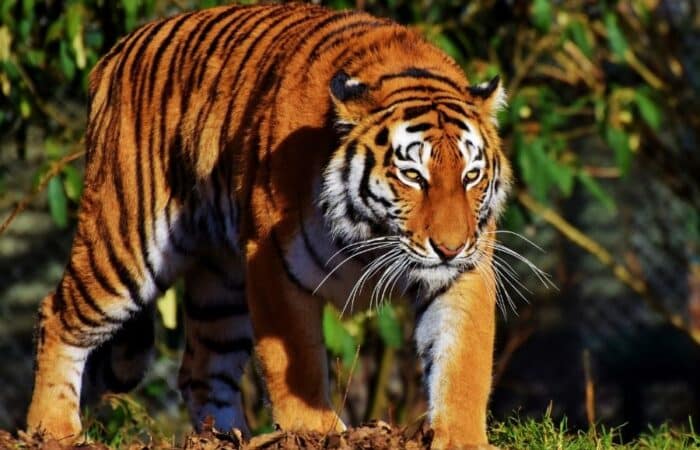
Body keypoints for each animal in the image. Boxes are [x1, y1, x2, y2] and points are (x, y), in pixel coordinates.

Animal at [26, 3, 511, 449]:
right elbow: (295, 361)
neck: (374, 236)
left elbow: (462, 363)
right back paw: (53, 428)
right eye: (412, 175)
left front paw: (462, 439)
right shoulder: (274, 262)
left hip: (222, 284)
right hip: (125, 243)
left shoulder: (463, 274)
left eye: (471, 176)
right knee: (57, 314)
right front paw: (316, 432)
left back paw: (227, 437)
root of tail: (117, 51)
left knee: (202, 369)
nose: (450, 247)